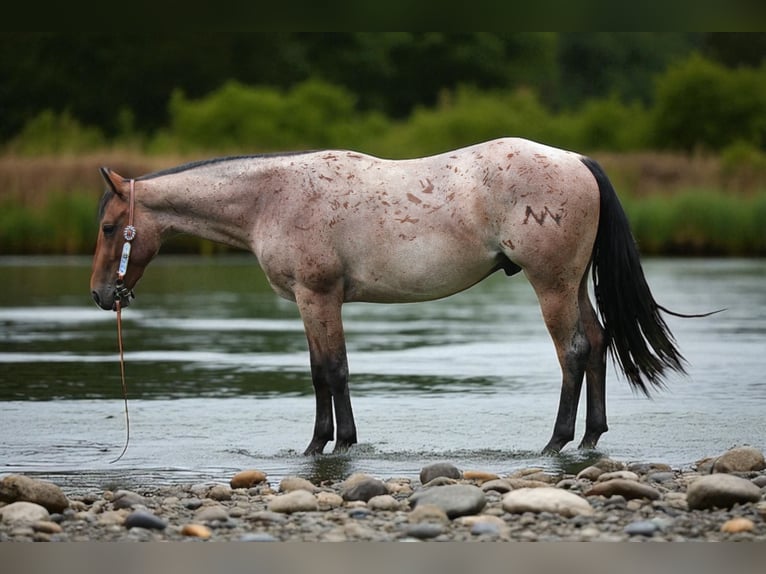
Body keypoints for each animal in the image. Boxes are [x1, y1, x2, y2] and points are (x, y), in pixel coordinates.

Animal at [90, 137, 691, 456]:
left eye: (107, 228)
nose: (100, 294)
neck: (270, 197)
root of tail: (576, 161)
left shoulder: (317, 297)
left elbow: (330, 371)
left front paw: (328, 446)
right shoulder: (316, 302)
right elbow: (325, 371)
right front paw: (331, 442)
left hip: (552, 285)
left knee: (574, 351)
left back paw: (556, 442)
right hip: (571, 283)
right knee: (598, 340)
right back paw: (590, 438)